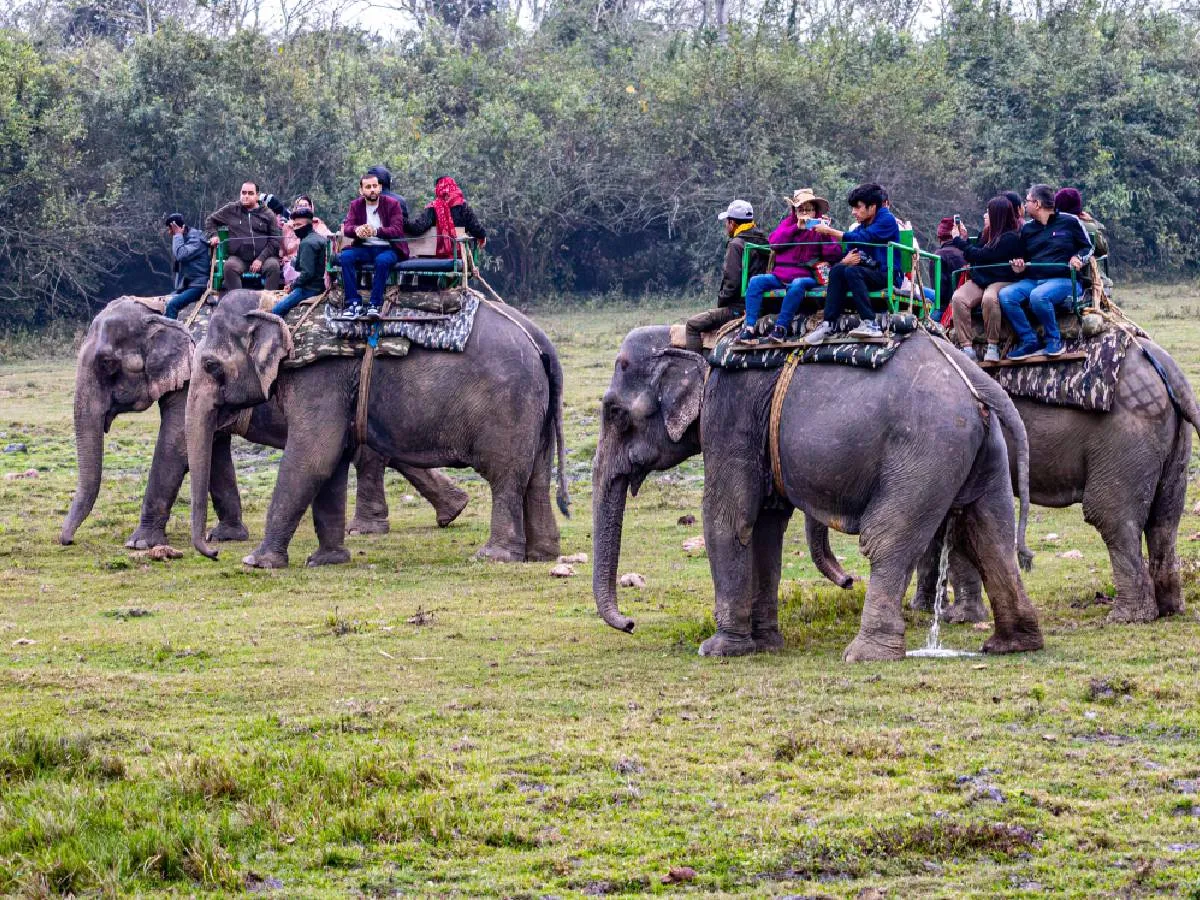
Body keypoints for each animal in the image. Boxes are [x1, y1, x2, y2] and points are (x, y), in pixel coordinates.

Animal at [59, 297, 468, 550]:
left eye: (107, 365)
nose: (65, 541)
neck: (160, 305)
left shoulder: (193, 378)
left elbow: (176, 442)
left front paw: (139, 543)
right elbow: (212, 446)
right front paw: (226, 536)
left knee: (370, 454)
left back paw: (366, 529)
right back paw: (454, 510)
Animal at [185, 290, 569, 567]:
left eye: (211, 365)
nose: (214, 552)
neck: (276, 305)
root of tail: (542, 341)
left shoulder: (319, 375)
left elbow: (314, 456)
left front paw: (257, 562)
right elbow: (332, 461)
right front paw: (327, 561)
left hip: (509, 404)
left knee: (505, 476)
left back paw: (494, 557)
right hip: (536, 405)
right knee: (536, 476)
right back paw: (541, 555)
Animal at [913, 337, 1200, 624]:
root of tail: (1164, 363)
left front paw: (957, 618)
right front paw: (928, 610)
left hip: (1126, 434)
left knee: (1112, 517)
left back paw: (1126, 617)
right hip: (1172, 438)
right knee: (1164, 519)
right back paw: (1169, 610)